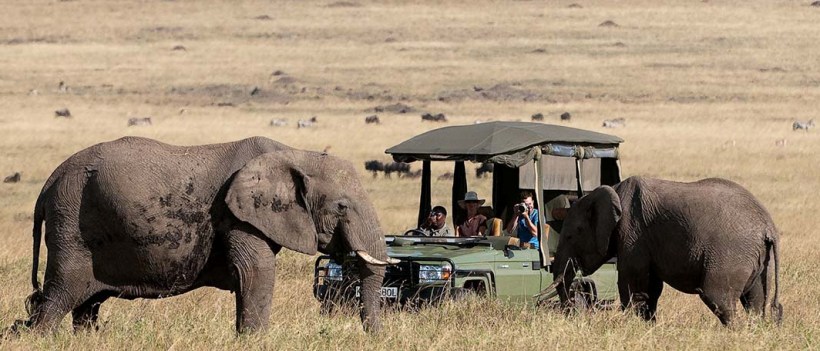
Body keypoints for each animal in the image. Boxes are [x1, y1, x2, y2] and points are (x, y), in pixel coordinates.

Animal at [15, 136, 394, 334]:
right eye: (341, 207)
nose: (373, 337)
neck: (296, 152)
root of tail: (49, 182)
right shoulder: (237, 214)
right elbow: (256, 273)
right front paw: (254, 340)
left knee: (85, 307)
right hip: (72, 225)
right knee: (58, 297)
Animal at [552, 177, 780, 326]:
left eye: (570, 236)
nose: (572, 313)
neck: (612, 191)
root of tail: (768, 227)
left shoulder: (633, 234)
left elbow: (633, 286)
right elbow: (651, 287)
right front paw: (647, 328)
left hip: (731, 255)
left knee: (718, 298)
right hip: (760, 260)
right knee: (755, 302)